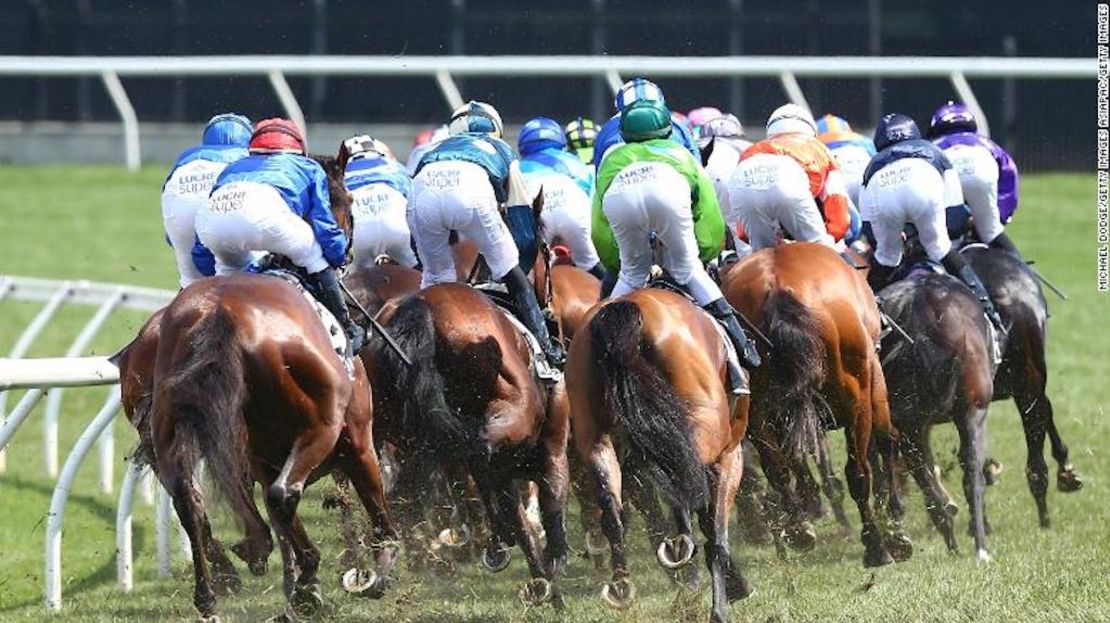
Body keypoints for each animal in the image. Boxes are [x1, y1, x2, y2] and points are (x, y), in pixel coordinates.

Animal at [366, 282, 568, 604]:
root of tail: (422, 307)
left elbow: (522, 522)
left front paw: (542, 582)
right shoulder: (551, 447)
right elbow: (549, 499)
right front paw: (553, 566)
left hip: (399, 432)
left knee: (396, 487)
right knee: (479, 452)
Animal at [563, 290, 754, 621]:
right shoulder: (729, 455)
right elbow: (714, 528)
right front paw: (729, 593)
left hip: (594, 435)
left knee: (614, 507)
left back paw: (622, 585)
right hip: (706, 433)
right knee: (674, 470)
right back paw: (680, 545)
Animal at [719, 240, 910, 566]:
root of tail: (778, 288)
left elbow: (795, 461)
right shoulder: (874, 385)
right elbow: (886, 443)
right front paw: (896, 528)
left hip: (755, 410)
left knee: (778, 470)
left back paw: (799, 530)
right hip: (857, 398)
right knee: (858, 471)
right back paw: (877, 546)